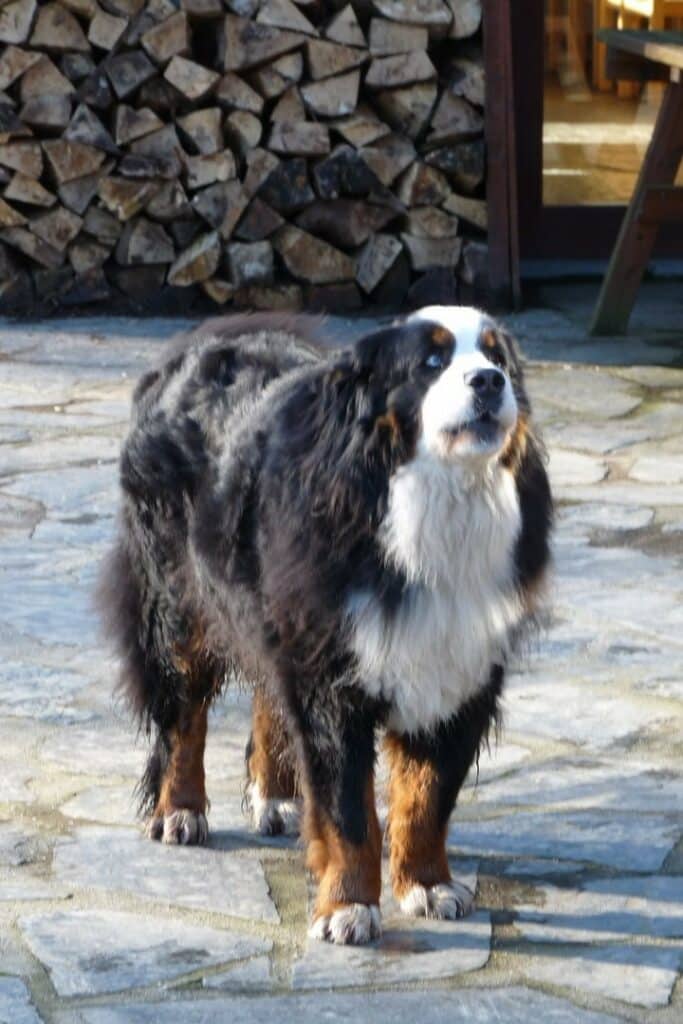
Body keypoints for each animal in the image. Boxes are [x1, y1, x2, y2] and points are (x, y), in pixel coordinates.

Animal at [100, 307, 552, 945]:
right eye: (431, 361)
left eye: (498, 357)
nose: (489, 381)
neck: (426, 511)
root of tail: (200, 343)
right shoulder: (333, 677)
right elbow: (348, 812)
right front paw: (348, 907)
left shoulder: (458, 672)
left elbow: (427, 797)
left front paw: (428, 885)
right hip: (179, 604)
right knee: (183, 713)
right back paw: (180, 811)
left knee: (266, 696)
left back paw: (275, 797)